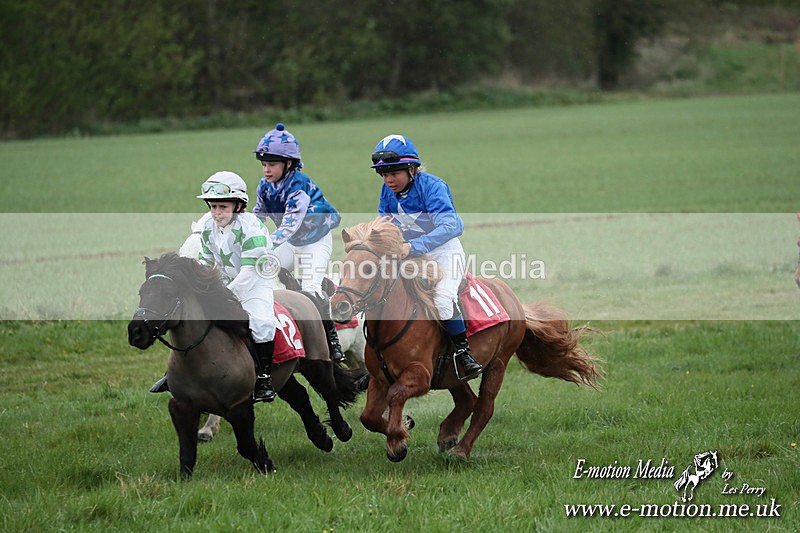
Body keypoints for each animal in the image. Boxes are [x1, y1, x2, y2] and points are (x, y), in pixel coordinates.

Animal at [127, 252, 361, 477]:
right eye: (142, 292)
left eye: (168, 294)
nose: (136, 332)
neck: (202, 357)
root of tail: (302, 295)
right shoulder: (181, 406)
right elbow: (186, 452)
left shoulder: (239, 406)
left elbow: (246, 446)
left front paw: (266, 464)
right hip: (282, 374)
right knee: (300, 396)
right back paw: (321, 438)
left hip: (316, 361)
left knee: (329, 391)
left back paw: (342, 430)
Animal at [329, 218, 602, 462]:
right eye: (343, 268)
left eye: (368, 269)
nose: (339, 306)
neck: (393, 325)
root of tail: (513, 298)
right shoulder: (378, 378)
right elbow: (368, 417)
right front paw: (402, 433)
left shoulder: (420, 375)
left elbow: (396, 394)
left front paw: (397, 438)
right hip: (451, 372)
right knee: (466, 400)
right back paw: (447, 435)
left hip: (497, 363)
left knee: (484, 407)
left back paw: (461, 450)